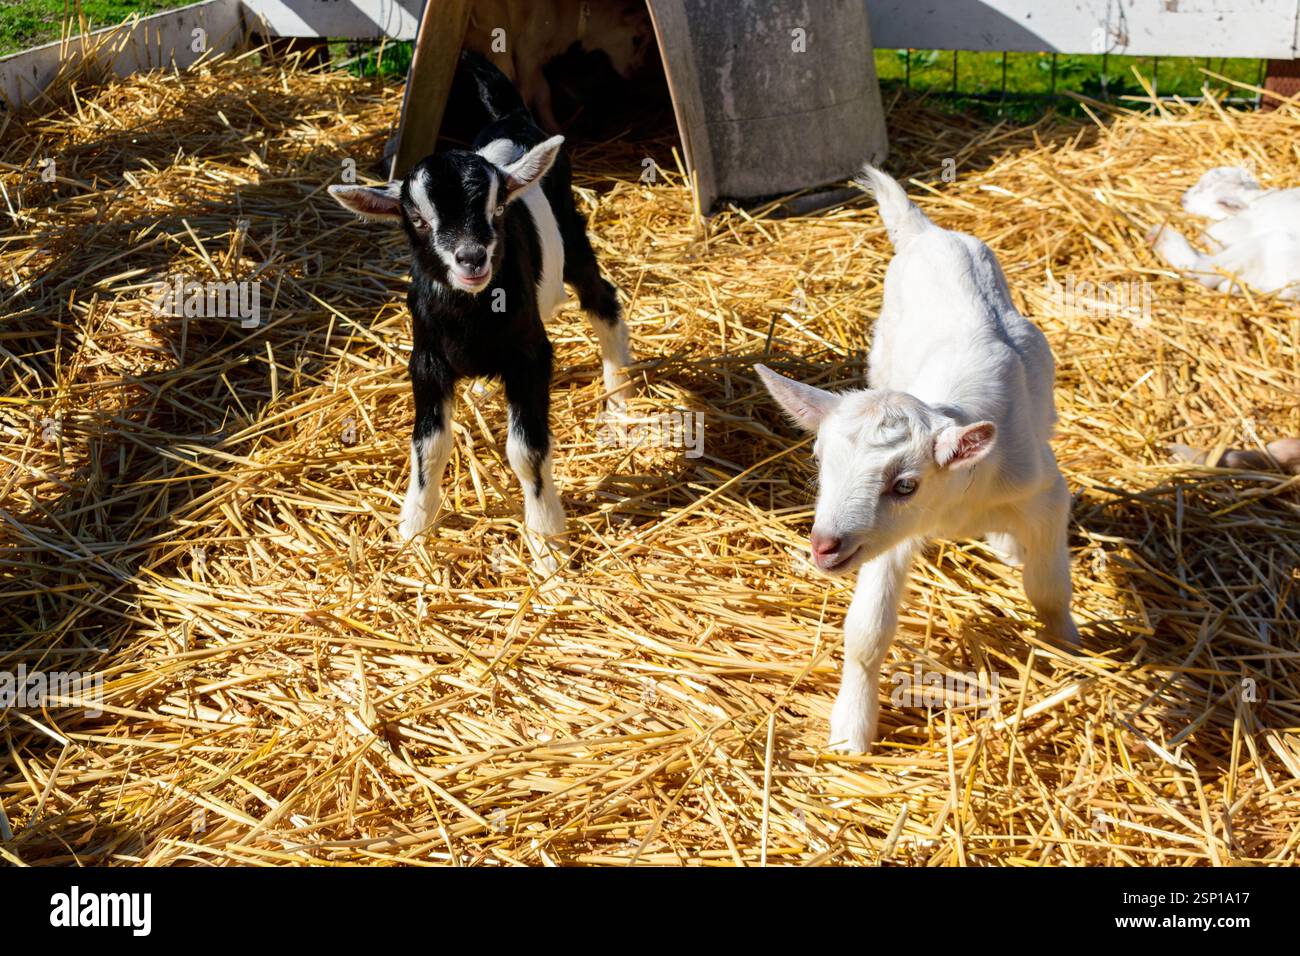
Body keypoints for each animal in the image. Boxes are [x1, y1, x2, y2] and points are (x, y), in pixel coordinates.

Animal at [329, 52, 631, 565]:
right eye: (417, 218)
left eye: (497, 208)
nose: (471, 258)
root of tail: (512, 117)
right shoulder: (426, 359)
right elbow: (428, 445)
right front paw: (413, 528)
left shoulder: (530, 356)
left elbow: (526, 450)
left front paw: (548, 544)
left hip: (572, 237)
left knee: (602, 298)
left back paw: (620, 395)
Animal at [756, 167, 1077, 752]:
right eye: (819, 460)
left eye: (905, 484)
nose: (824, 546)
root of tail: (926, 233)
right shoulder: (883, 539)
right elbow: (866, 630)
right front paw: (850, 732)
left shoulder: (1043, 492)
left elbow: (1048, 590)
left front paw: (1067, 645)